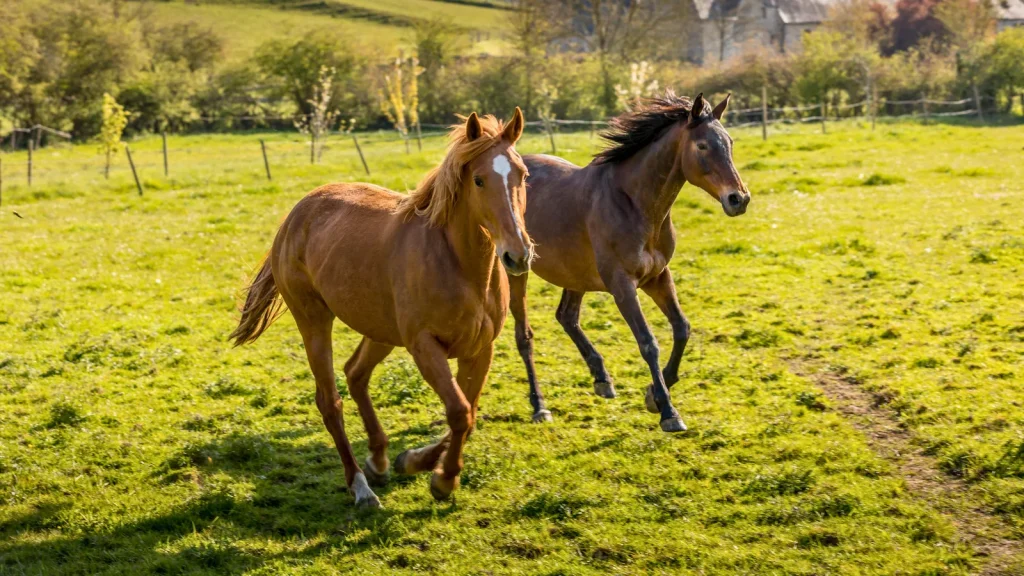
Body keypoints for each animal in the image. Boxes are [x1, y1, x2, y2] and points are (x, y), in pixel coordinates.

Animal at [231, 109, 532, 504]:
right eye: (479, 180)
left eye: (523, 174)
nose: (518, 254)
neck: (461, 268)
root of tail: (296, 214)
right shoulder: (425, 348)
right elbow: (458, 412)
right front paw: (442, 478)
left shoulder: (479, 350)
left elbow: (469, 414)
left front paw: (419, 462)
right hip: (314, 321)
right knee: (330, 401)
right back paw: (360, 486)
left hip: (380, 331)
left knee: (355, 374)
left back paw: (379, 459)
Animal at [516, 90, 749, 430]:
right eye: (702, 146)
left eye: (729, 142)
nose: (739, 199)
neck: (635, 204)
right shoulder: (622, 285)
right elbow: (648, 342)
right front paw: (668, 411)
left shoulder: (658, 276)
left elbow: (682, 328)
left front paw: (654, 394)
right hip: (514, 272)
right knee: (525, 336)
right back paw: (539, 407)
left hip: (575, 273)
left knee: (566, 317)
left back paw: (602, 379)